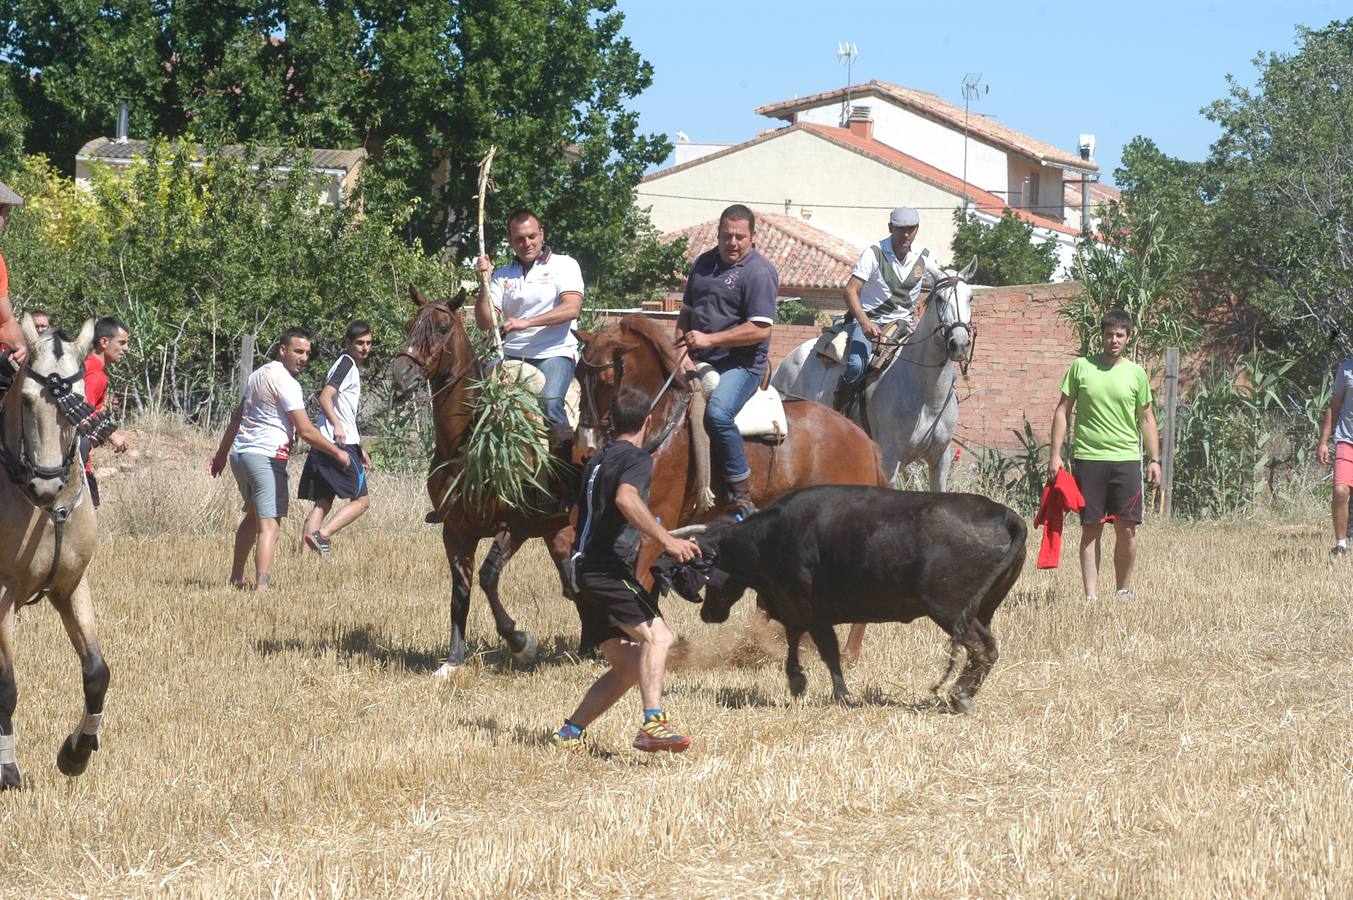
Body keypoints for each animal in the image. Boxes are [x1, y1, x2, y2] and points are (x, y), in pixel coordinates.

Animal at [389, 284, 573, 671]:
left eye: (443, 327)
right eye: (410, 324)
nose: (401, 374)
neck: (471, 442)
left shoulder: (516, 526)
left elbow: (488, 578)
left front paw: (521, 642)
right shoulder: (455, 530)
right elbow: (461, 592)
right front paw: (453, 660)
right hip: (560, 529)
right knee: (573, 580)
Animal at [570, 315, 887, 590]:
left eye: (607, 381)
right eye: (577, 374)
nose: (585, 444)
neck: (666, 418)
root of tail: (862, 440)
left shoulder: (658, 524)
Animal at [671, 484, 1028, 709]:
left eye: (708, 572)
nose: (707, 614)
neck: (769, 537)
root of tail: (1005, 515)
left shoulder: (811, 610)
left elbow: (829, 652)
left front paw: (842, 697)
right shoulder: (794, 608)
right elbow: (794, 641)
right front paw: (797, 681)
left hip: (951, 611)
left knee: (983, 649)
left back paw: (960, 696)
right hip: (982, 610)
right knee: (982, 651)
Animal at [773, 255, 974, 487]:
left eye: (970, 297)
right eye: (940, 298)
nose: (959, 343)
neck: (927, 397)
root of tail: (785, 363)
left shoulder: (941, 459)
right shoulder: (891, 458)